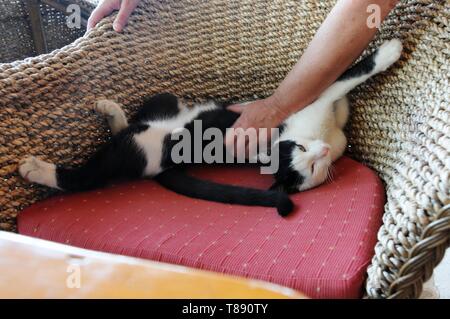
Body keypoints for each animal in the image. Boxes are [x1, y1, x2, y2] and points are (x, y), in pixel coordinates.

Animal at [19, 39, 402, 215]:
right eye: (306, 156)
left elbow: (343, 97)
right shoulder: (316, 100)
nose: (322, 151)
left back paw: (113, 114)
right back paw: (37, 168)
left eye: (313, 165)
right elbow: (347, 77)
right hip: (134, 150)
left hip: (159, 106)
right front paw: (389, 52)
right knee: (85, 177)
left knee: (133, 124)